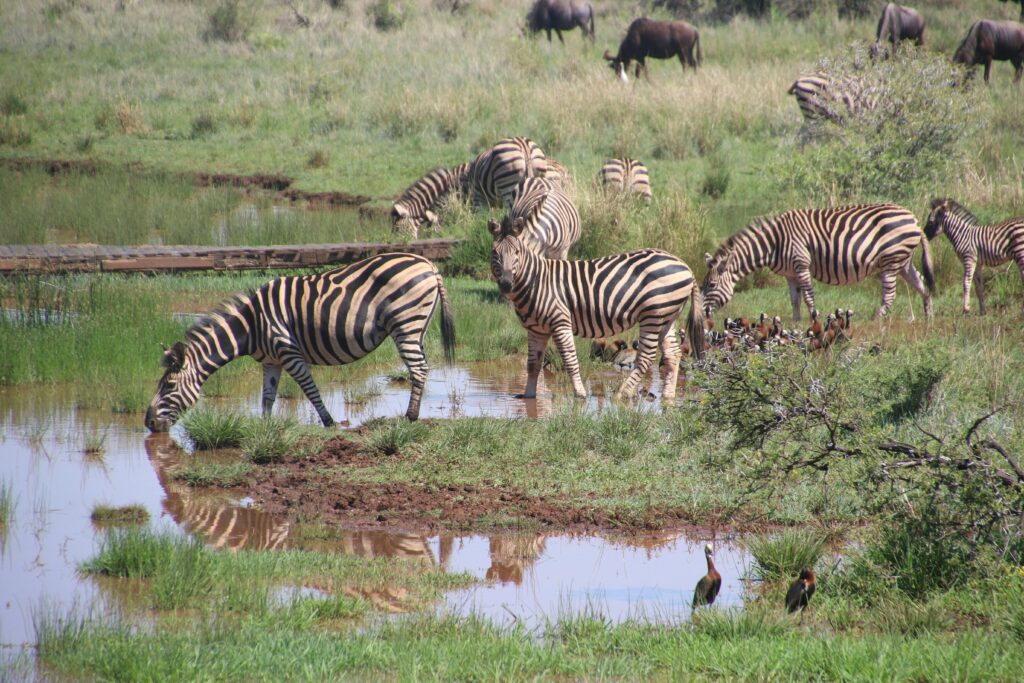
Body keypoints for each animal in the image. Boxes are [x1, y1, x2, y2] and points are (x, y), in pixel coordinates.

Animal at [144, 253, 456, 431]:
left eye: (168, 386)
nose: (148, 423)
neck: (252, 326)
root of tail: (428, 263)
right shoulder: (270, 361)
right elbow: (267, 396)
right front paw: (265, 427)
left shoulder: (288, 351)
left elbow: (310, 389)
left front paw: (329, 423)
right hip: (417, 326)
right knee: (422, 366)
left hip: (405, 322)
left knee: (418, 369)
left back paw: (410, 417)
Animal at [488, 217, 705, 401]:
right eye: (495, 254)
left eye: (517, 252)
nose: (506, 284)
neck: (536, 281)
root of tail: (686, 266)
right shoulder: (536, 329)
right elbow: (533, 364)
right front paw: (528, 396)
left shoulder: (560, 321)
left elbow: (569, 360)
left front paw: (580, 394)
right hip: (667, 316)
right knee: (673, 354)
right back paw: (668, 397)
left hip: (653, 314)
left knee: (646, 357)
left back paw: (622, 394)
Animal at [701, 204, 934, 322]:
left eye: (711, 285)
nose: (702, 314)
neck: (774, 243)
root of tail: (914, 220)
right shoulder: (789, 274)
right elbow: (794, 300)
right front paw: (795, 323)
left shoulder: (801, 265)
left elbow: (808, 296)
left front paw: (814, 319)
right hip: (903, 262)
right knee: (922, 285)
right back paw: (928, 319)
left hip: (891, 260)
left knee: (890, 294)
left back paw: (876, 320)